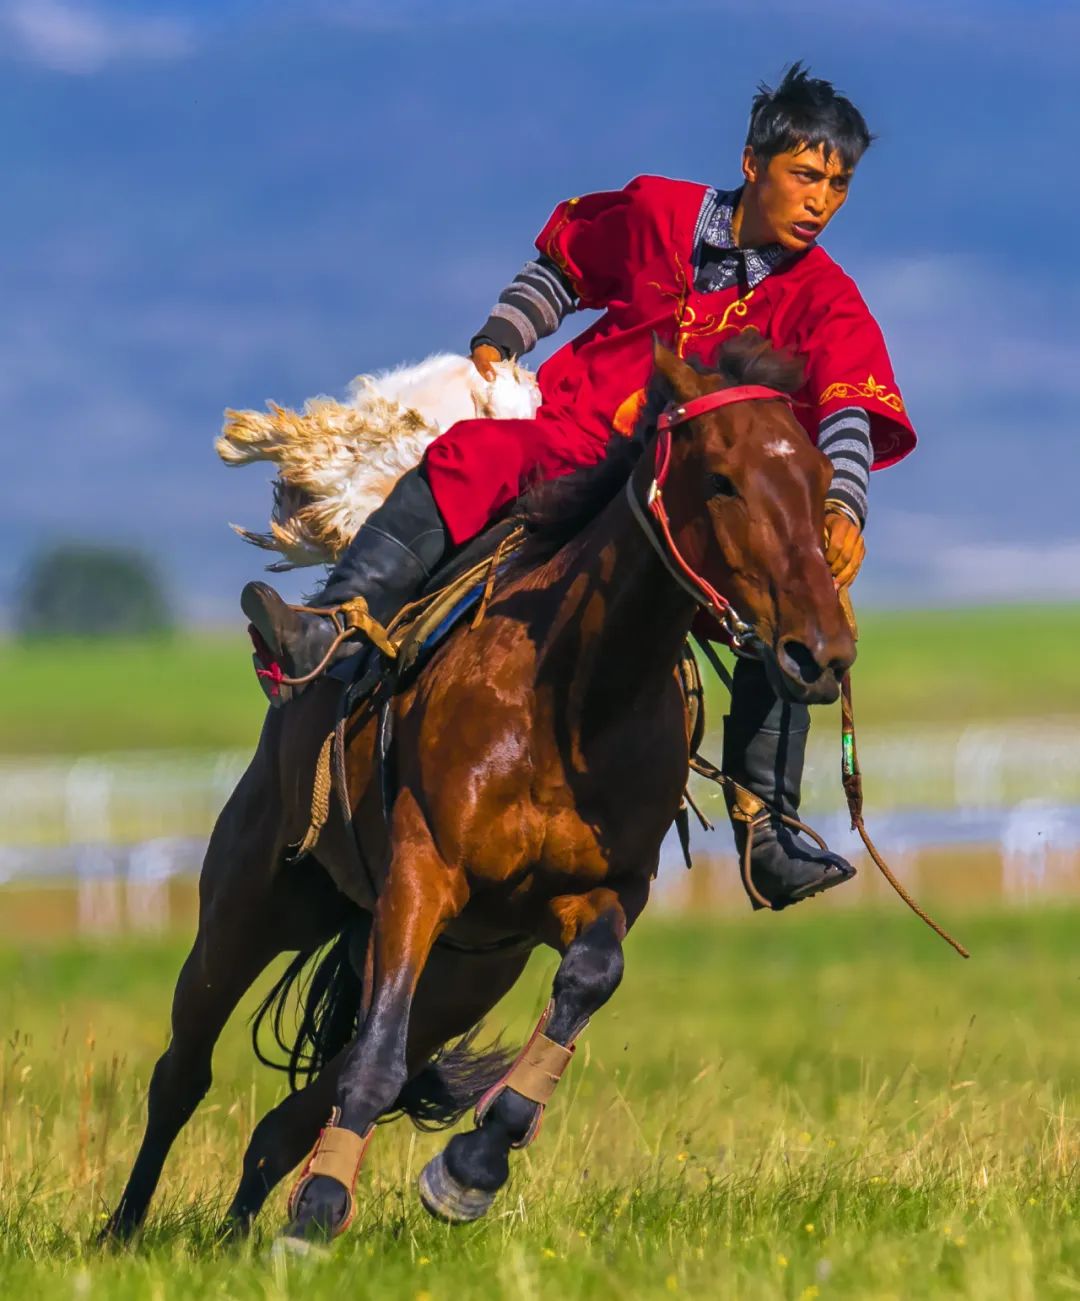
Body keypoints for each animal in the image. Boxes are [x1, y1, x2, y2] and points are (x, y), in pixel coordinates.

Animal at [105, 330, 858, 1243]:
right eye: (721, 477)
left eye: (819, 480)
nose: (821, 651)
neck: (572, 697)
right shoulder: (421, 877)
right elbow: (373, 1058)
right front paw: (322, 1207)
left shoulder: (602, 894)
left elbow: (585, 982)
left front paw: (468, 1168)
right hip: (252, 902)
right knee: (185, 1070)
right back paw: (124, 1230)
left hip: (464, 976)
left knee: (285, 1121)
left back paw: (243, 1233)